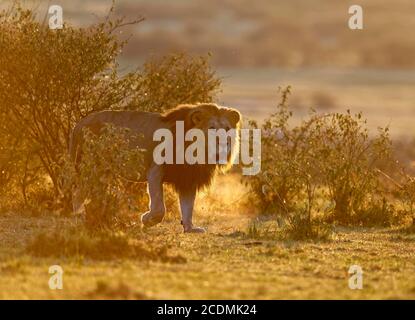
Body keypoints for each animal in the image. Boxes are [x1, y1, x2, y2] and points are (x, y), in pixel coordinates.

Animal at [70, 104, 242, 234]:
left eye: (227, 128)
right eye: (212, 128)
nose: (224, 142)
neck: (198, 152)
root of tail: (80, 123)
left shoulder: (188, 177)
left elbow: (188, 206)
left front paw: (190, 228)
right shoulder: (155, 170)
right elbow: (159, 208)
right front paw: (146, 220)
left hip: (102, 171)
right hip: (90, 167)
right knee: (77, 195)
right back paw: (75, 217)